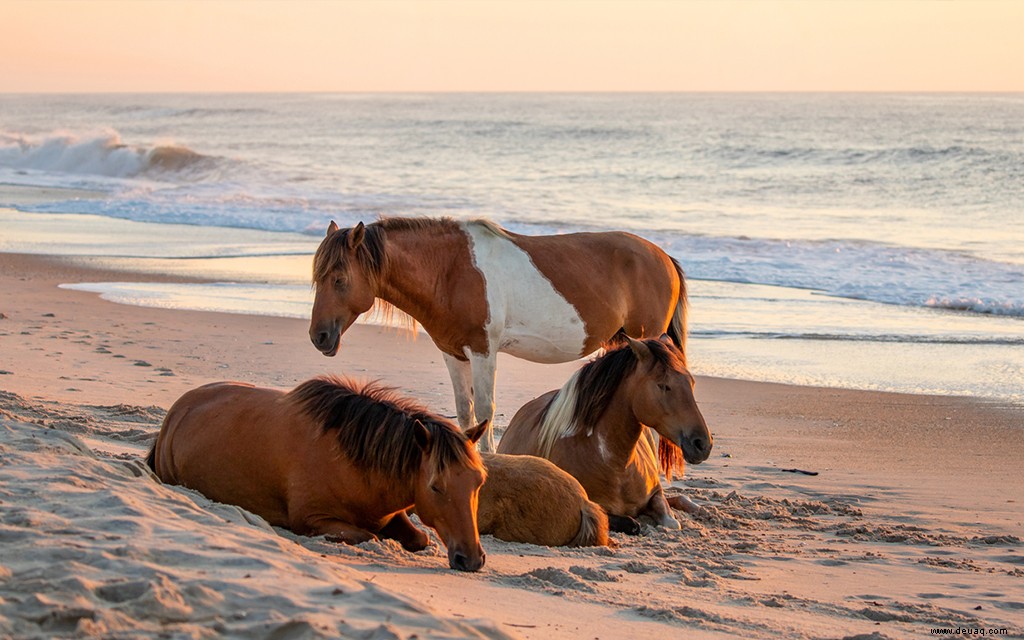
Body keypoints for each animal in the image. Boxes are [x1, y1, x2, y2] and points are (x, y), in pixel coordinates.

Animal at [145, 376, 491, 573]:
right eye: (435, 487)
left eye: (479, 483)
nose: (471, 559)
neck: (353, 461)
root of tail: (176, 412)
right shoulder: (312, 520)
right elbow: (368, 536)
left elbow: (420, 537)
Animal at [311, 217, 692, 452]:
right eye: (318, 277)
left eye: (340, 279)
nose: (319, 337)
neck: (451, 271)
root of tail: (663, 258)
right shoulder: (453, 353)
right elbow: (465, 411)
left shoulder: (483, 351)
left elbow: (485, 409)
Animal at [497, 333, 712, 532]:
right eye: (664, 385)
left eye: (691, 382)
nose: (703, 444)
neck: (616, 465)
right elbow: (631, 522)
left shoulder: (656, 494)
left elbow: (672, 521)